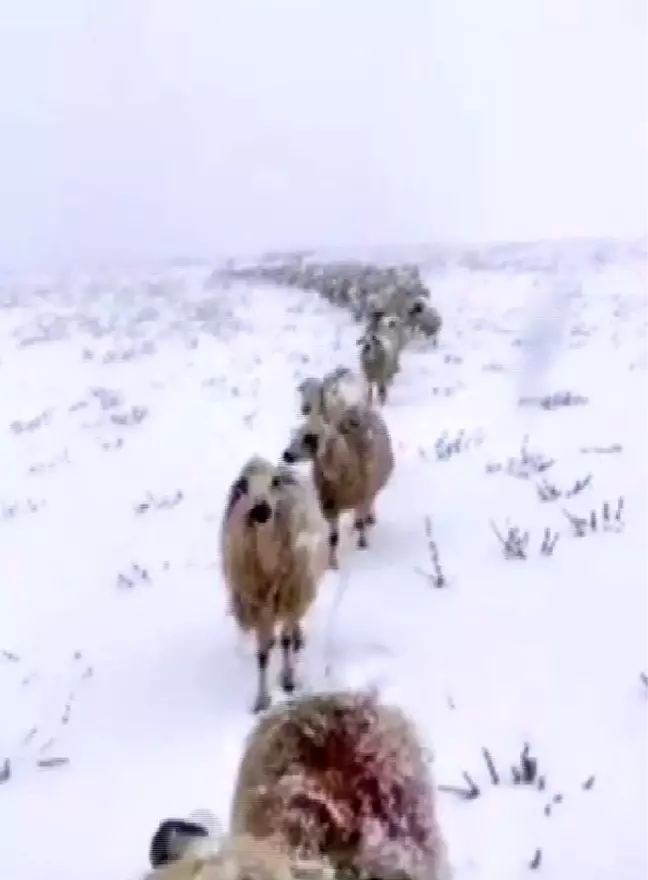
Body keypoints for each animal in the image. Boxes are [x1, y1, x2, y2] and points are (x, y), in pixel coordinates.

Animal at [220, 458, 330, 712]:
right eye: (244, 485)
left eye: (274, 482)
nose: (261, 510)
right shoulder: (257, 604)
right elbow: (263, 653)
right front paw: (261, 699)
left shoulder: (290, 596)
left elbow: (285, 641)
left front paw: (288, 681)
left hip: (299, 590)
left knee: (292, 629)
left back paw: (297, 642)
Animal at [280, 406, 392, 572]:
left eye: (309, 437)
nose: (286, 455)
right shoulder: (329, 505)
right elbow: (333, 538)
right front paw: (332, 564)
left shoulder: (361, 496)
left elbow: (361, 524)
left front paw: (362, 546)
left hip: (370, 490)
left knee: (369, 505)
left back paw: (369, 520)